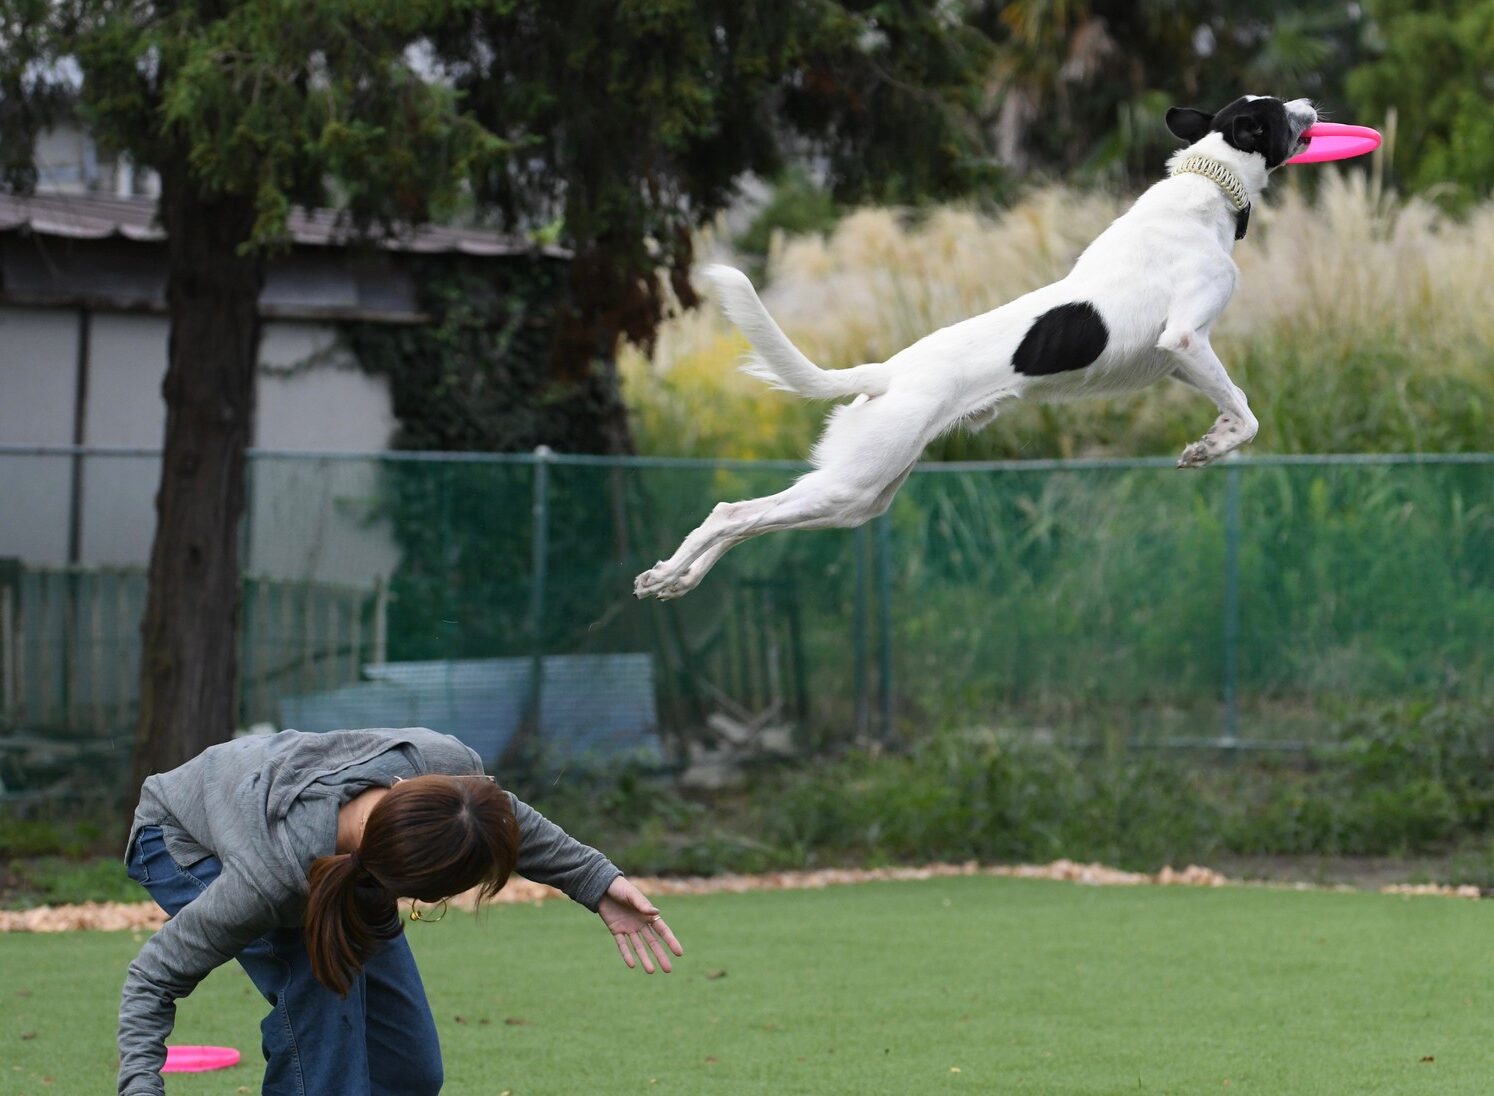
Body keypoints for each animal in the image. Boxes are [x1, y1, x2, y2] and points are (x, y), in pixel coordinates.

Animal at [636, 95, 1314, 606]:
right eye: (1276, 111)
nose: (1310, 104)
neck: (1208, 186)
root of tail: (886, 373)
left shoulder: (1175, 360)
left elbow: (1229, 404)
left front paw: (1208, 440)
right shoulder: (1185, 339)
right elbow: (1247, 413)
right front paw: (1213, 446)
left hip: (859, 496)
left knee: (751, 519)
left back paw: (677, 578)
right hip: (853, 485)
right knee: (731, 513)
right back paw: (669, 571)